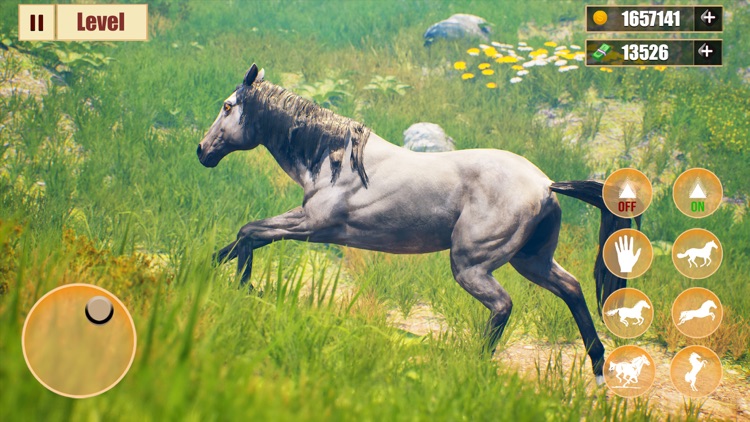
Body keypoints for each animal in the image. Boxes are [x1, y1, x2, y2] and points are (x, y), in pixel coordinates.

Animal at [196, 64, 635, 381]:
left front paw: (245, 289)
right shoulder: (306, 224)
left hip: (471, 264)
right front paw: (203, 271)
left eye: (227, 107)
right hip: (531, 259)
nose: (202, 151)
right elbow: (246, 236)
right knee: (572, 288)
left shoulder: (312, 225)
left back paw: (473, 366)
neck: (337, 162)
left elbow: (249, 232)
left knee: (503, 305)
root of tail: (545, 184)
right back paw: (598, 367)